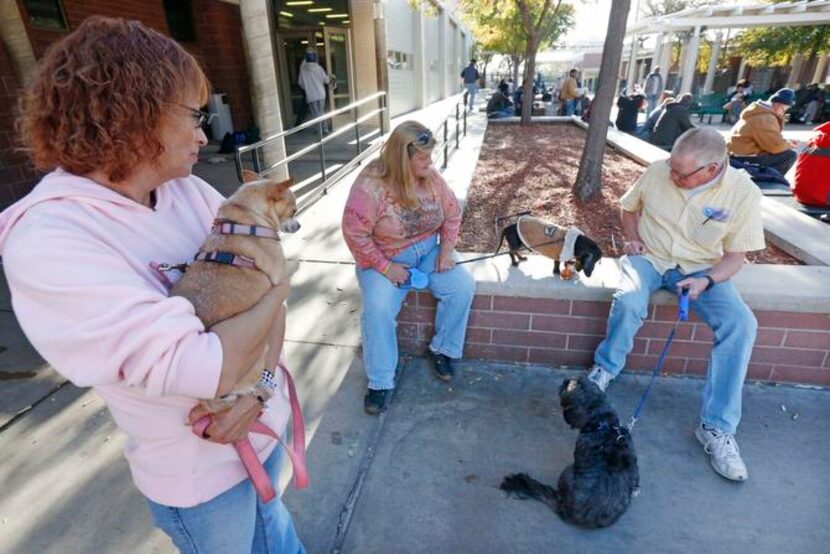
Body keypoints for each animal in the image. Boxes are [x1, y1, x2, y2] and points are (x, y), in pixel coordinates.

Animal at [171, 170, 300, 408]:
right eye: (293, 211)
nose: (299, 226)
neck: (244, 218)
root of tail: (207, 399)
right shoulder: (281, 270)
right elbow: (296, 263)